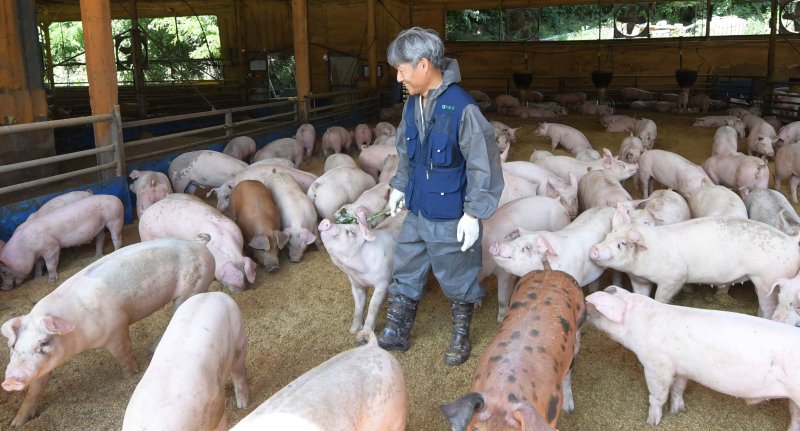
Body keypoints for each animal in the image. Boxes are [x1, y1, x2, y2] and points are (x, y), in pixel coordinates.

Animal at [584, 286, 800, 431]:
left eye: (593, 307)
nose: (583, 308)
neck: (639, 322)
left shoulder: (657, 365)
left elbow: (657, 395)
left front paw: (650, 422)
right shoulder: (681, 369)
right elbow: (678, 388)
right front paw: (677, 411)